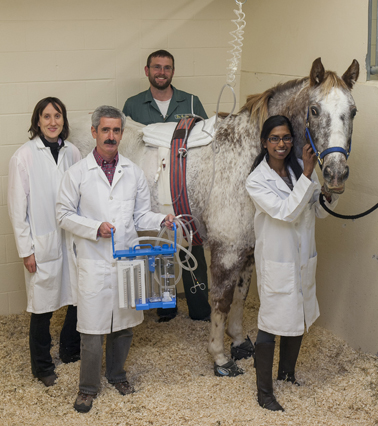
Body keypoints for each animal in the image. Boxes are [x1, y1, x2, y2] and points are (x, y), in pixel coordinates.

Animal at [68, 57, 360, 376]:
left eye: (353, 111)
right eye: (315, 110)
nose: (336, 173)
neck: (247, 157)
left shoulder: (248, 249)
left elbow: (241, 296)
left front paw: (238, 341)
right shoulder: (227, 250)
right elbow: (222, 299)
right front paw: (220, 356)